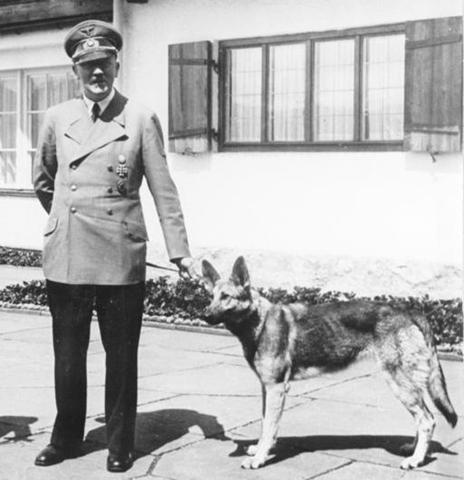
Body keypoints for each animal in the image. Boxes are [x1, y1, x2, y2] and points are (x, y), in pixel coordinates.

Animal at [202, 256, 456, 470]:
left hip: (399, 384)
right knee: (424, 417)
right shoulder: (267, 388)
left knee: (427, 420)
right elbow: (266, 424)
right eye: (211, 296)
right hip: (408, 386)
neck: (259, 322)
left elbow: (270, 426)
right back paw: (413, 450)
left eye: (226, 297)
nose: (204, 315)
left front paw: (259, 459)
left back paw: (415, 460)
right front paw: (260, 450)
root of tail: (410, 311)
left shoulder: (276, 388)